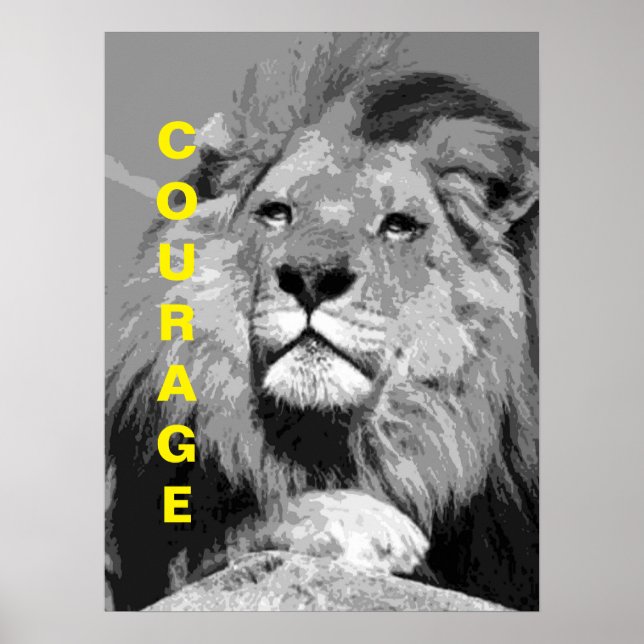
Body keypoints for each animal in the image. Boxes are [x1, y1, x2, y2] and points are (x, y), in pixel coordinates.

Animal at [106, 33, 539, 611]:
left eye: (399, 225)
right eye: (277, 213)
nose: (311, 278)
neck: (327, 437)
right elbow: (244, 527)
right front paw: (357, 520)